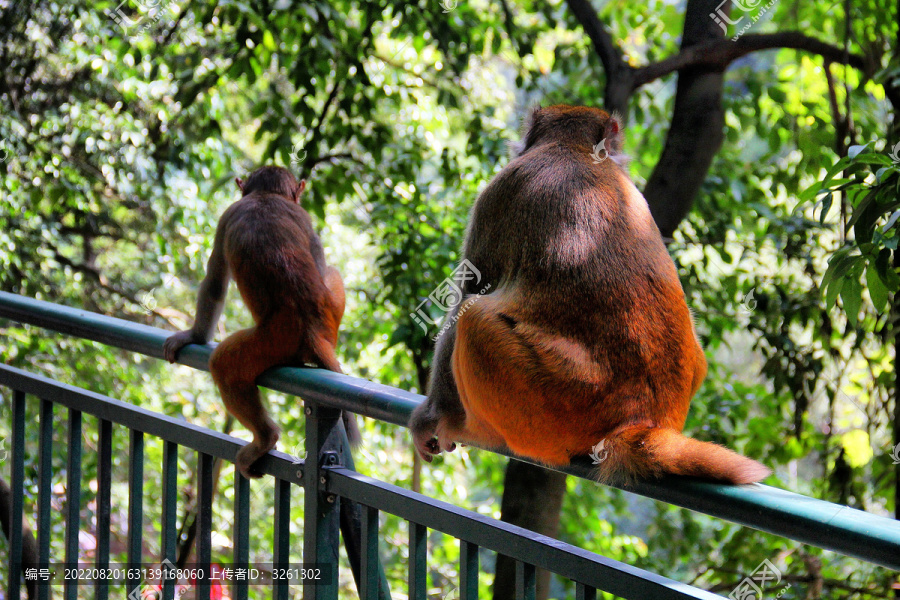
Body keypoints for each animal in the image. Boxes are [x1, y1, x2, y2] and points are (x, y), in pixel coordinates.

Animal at [165, 165, 356, 478]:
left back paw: (265, 437)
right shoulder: (305, 219)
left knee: (224, 365)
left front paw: (193, 336)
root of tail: (312, 329)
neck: (267, 195)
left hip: (271, 341)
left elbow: (215, 283)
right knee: (332, 273)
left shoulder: (226, 216)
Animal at [412, 105, 768, 486]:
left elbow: (468, 293)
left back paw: (471, 429)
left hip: (558, 407)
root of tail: (642, 422)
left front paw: (433, 416)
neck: (574, 148)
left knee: (475, 319)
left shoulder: (499, 192)